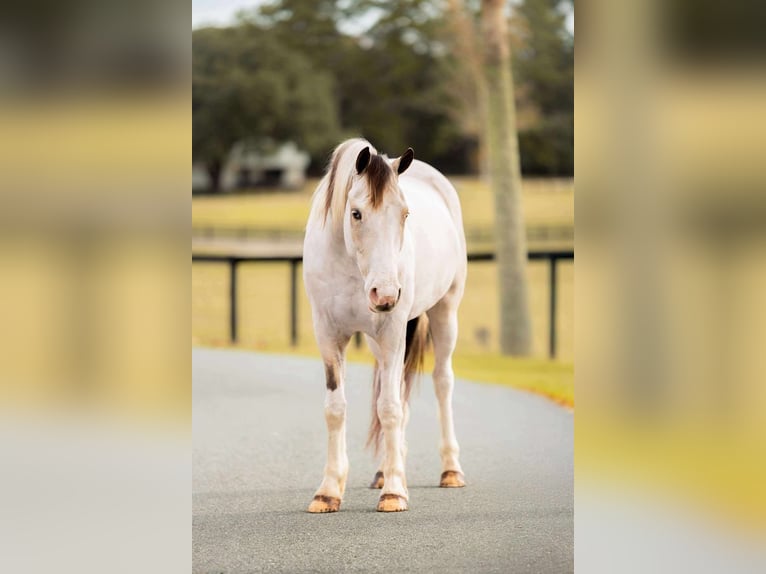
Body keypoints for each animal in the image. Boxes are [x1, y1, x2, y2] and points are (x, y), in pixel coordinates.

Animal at [303, 138, 467, 513]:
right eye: (356, 213)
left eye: (404, 214)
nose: (386, 293)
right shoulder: (328, 336)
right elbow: (336, 409)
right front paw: (328, 490)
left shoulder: (392, 332)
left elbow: (389, 408)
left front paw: (394, 492)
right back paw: (384, 470)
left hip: (444, 312)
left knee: (442, 382)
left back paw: (450, 469)